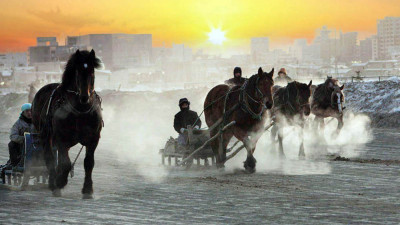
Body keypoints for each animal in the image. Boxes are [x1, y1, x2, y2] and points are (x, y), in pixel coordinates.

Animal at [32, 49, 103, 199]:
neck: (80, 111)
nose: (84, 97)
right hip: (45, 135)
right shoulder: (61, 138)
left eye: (92, 72)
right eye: (77, 72)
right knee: (50, 157)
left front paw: (88, 189)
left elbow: (89, 162)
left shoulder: (93, 138)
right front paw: (60, 181)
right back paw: (54, 183)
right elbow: (64, 163)